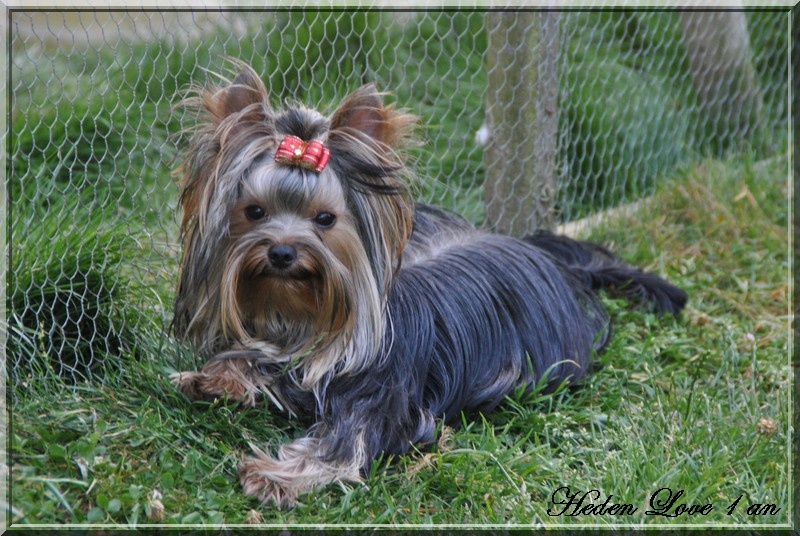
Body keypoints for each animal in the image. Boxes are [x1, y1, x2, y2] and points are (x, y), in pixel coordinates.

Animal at [170, 61, 688, 506]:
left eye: (325, 219)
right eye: (254, 211)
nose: (281, 253)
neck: (307, 321)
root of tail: (548, 254)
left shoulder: (384, 402)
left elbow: (347, 446)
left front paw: (275, 476)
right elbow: (248, 360)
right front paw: (213, 378)